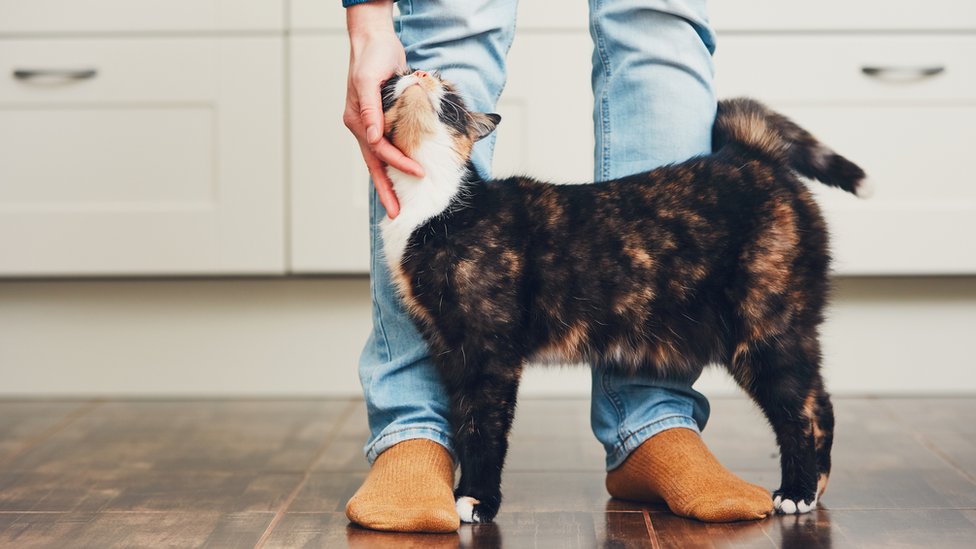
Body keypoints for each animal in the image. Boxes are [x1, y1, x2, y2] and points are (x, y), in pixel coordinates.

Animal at [380, 69, 868, 524]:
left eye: (451, 93)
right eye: (396, 78)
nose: (419, 73)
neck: (434, 205)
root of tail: (750, 155)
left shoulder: (490, 352)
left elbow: (485, 429)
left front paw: (478, 500)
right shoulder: (450, 349)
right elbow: (464, 423)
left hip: (766, 329)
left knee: (801, 411)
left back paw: (797, 492)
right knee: (817, 402)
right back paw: (814, 487)